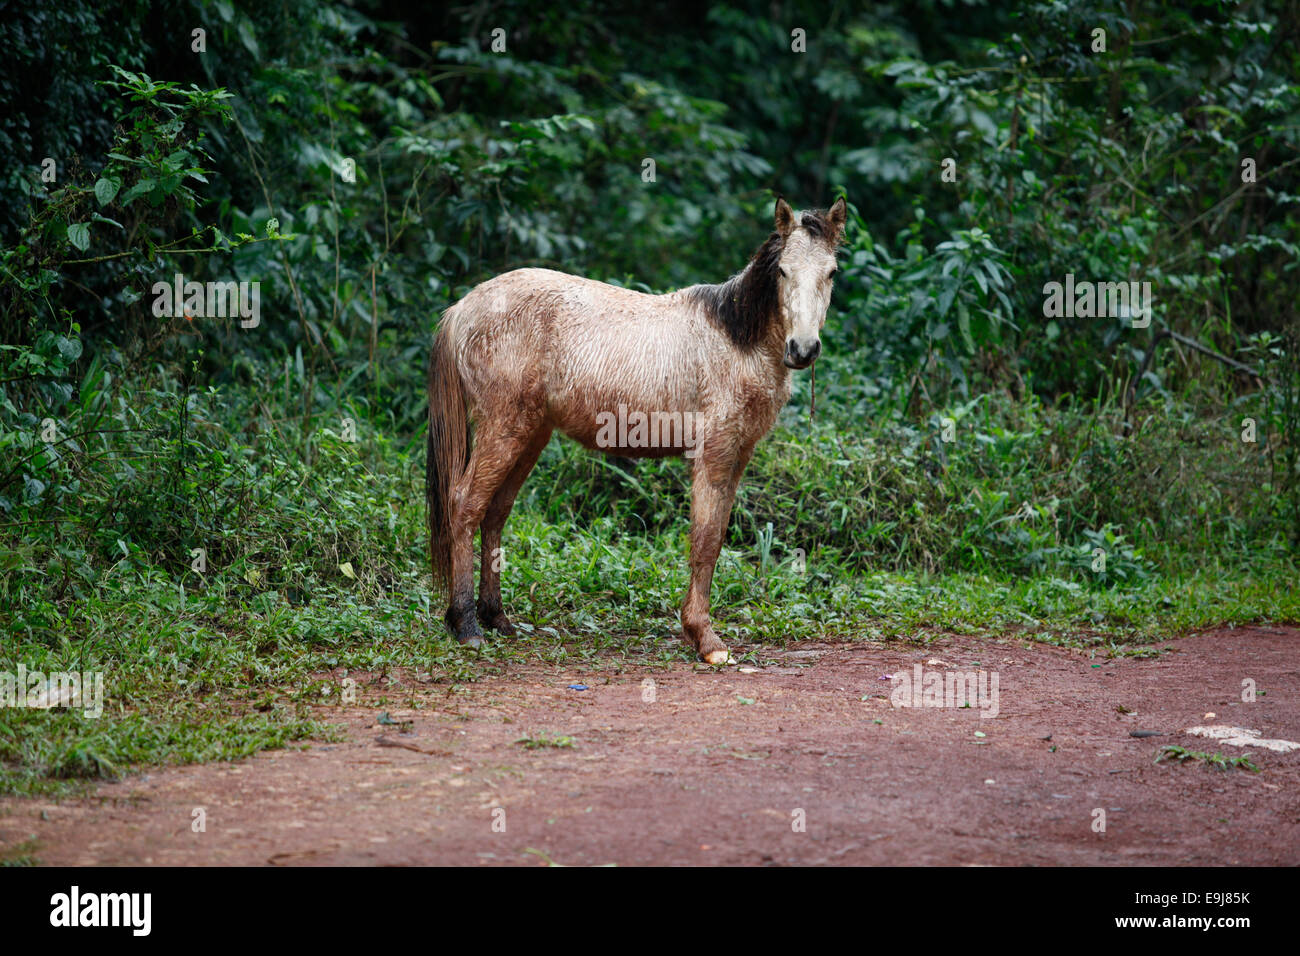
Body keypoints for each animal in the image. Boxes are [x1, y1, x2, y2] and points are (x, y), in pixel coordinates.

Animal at [431, 197, 847, 665]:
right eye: (783, 272)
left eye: (831, 272)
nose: (803, 349)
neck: (734, 337)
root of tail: (460, 311)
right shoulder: (714, 454)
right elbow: (705, 541)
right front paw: (706, 639)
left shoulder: (738, 456)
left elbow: (716, 536)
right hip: (502, 430)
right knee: (465, 505)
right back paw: (466, 626)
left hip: (529, 435)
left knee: (495, 513)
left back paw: (496, 618)